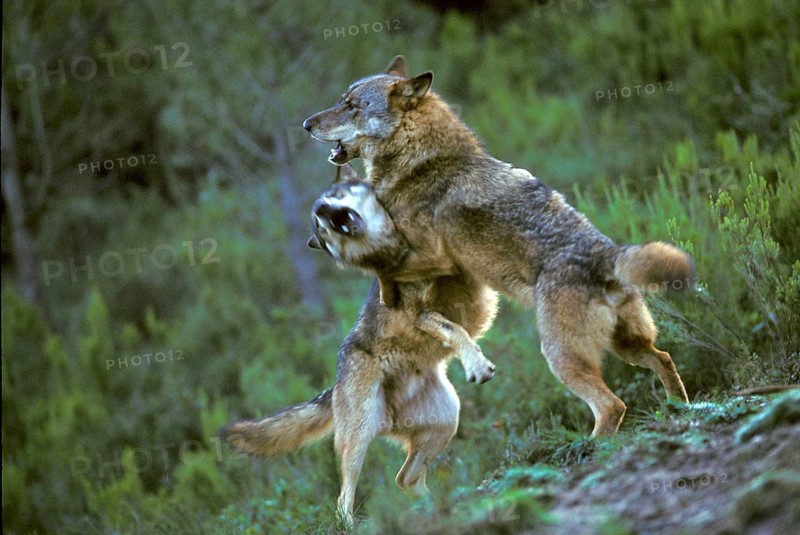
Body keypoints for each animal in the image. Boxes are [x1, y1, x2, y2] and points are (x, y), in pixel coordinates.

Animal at [222, 165, 499, 522]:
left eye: (334, 197)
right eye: (320, 224)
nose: (325, 211)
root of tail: (335, 384)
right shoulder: (421, 314)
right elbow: (455, 330)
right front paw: (477, 364)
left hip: (446, 419)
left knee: (404, 479)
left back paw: (442, 507)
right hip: (359, 437)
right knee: (344, 499)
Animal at [303, 55, 694, 439]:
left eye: (350, 105)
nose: (306, 124)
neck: (421, 162)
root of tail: (609, 255)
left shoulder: (432, 256)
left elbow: (382, 269)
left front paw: (386, 294)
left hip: (561, 358)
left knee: (613, 405)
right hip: (627, 347)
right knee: (663, 359)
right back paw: (681, 411)